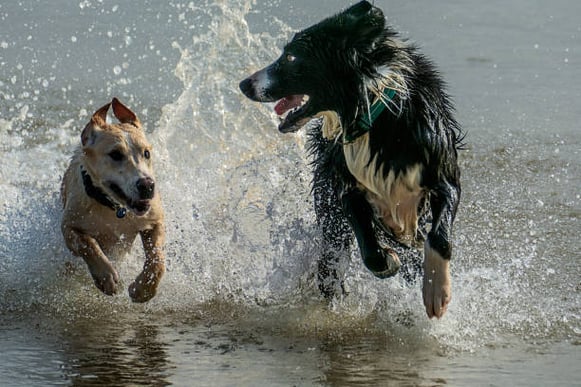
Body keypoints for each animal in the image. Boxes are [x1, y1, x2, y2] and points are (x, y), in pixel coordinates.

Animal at [61, 98, 164, 304]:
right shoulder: (69, 226)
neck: (115, 208)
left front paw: (143, 289)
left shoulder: (154, 221)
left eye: (146, 153)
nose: (147, 185)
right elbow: (87, 244)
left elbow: (157, 259)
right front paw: (106, 277)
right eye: (116, 154)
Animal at [238, 1, 460, 320]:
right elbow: (370, 249)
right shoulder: (343, 185)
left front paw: (436, 292)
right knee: (332, 261)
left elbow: (440, 236)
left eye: (291, 56)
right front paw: (388, 261)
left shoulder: (442, 174)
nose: (244, 84)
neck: (376, 115)